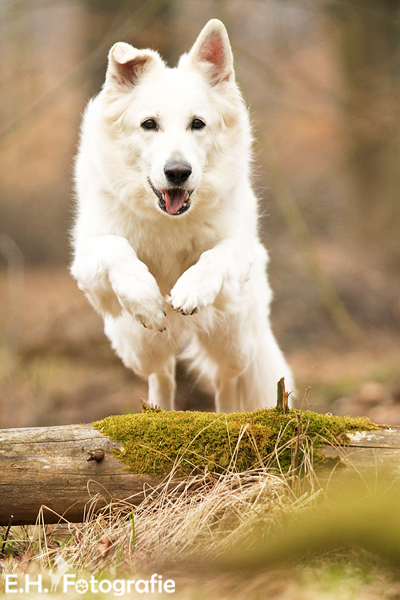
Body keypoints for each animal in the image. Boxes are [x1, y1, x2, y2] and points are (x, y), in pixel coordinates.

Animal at [70, 19, 292, 412]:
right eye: (149, 124)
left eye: (197, 123)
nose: (177, 172)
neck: (167, 222)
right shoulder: (88, 258)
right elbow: (116, 247)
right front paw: (146, 296)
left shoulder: (239, 249)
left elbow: (215, 256)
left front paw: (191, 289)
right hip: (139, 343)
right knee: (161, 375)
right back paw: (156, 412)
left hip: (232, 337)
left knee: (226, 381)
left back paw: (225, 416)